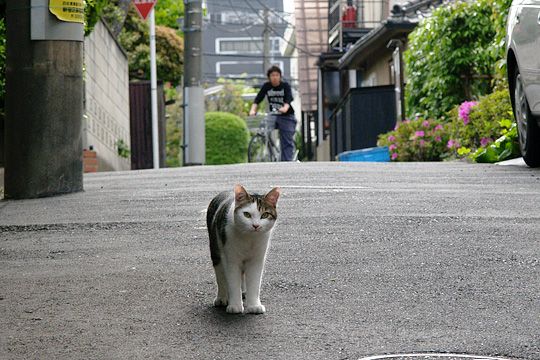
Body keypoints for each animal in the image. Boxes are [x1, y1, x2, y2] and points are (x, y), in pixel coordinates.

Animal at [207, 184, 280, 314]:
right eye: (247, 214)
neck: (249, 239)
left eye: (265, 215)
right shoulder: (230, 259)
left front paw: (254, 306)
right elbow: (232, 281)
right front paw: (235, 306)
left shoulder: (257, 259)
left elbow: (254, 282)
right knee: (220, 276)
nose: (256, 226)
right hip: (216, 250)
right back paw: (222, 298)